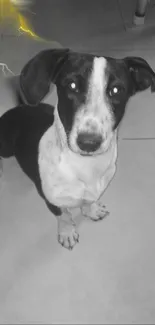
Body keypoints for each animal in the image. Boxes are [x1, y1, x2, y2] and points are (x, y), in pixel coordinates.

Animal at [0, 48, 155, 251]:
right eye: (72, 85)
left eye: (116, 90)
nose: (89, 142)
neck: (86, 165)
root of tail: (19, 107)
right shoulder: (52, 200)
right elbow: (64, 216)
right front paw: (67, 233)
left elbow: (88, 201)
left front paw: (91, 210)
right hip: (6, 148)